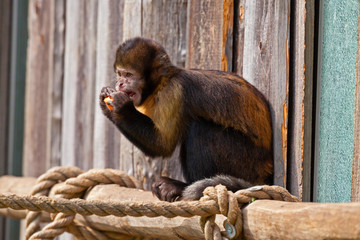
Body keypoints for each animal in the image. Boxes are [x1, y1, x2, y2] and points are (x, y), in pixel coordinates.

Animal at [98, 37, 272, 202]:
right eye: (120, 74)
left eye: (129, 75)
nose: (120, 83)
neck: (162, 82)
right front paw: (105, 102)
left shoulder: (173, 92)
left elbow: (163, 144)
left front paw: (122, 108)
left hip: (247, 164)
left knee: (202, 129)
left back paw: (183, 186)